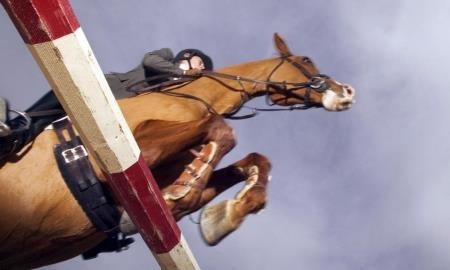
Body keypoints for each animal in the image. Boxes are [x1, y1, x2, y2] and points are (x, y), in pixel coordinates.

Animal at [0, 32, 356, 268]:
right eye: (306, 60)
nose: (347, 92)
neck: (194, 98)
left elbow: (252, 162)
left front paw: (222, 217)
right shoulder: (114, 155)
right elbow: (222, 130)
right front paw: (186, 191)